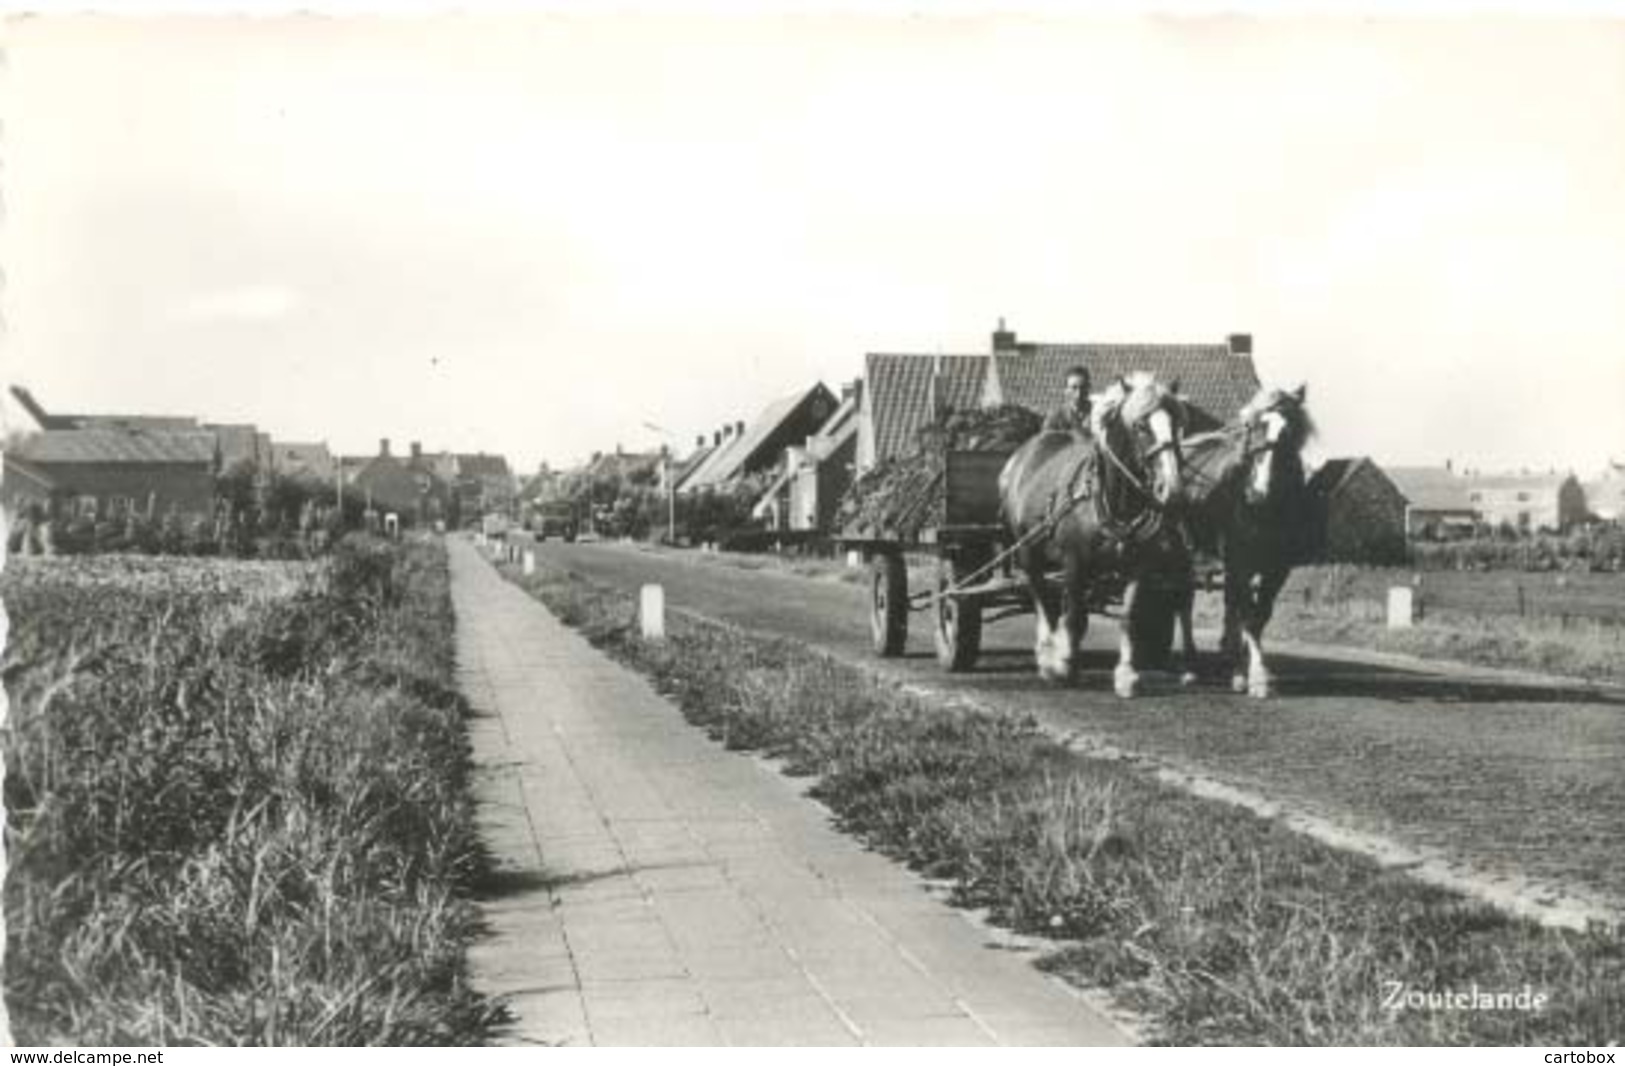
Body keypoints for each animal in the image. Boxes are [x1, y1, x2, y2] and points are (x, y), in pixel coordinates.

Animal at [994, 375, 1189, 698]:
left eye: (1176, 423)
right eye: (1141, 426)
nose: (1172, 490)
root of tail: (1023, 454)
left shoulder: (1139, 565)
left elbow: (1128, 618)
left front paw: (1126, 675)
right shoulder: (1075, 562)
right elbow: (1073, 616)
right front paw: (1064, 666)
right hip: (1028, 551)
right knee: (1041, 598)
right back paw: (1046, 655)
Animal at [1163, 383, 1313, 698]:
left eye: (1289, 432)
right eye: (1253, 428)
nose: (1258, 492)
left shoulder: (1277, 567)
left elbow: (1258, 616)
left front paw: (1245, 669)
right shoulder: (1239, 560)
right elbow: (1247, 614)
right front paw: (1253, 677)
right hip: (1182, 554)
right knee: (1184, 603)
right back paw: (1190, 666)